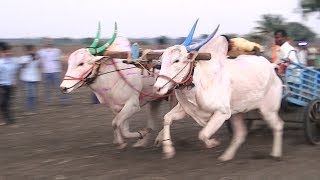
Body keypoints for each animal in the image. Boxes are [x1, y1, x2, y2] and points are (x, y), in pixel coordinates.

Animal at [154, 23, 284, 160]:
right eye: (161, 60)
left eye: (176, 60)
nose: (157, 87)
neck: (199, 82)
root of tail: (272, 67)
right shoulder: (187, 110)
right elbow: (167, 118)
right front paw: (168, 149)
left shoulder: (222, 113)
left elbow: (203, 134)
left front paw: (213, 143)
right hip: (237, 113)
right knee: (241, 133)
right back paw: (226, 156)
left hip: (268, 110)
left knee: (278, 125)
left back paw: (276, 153)